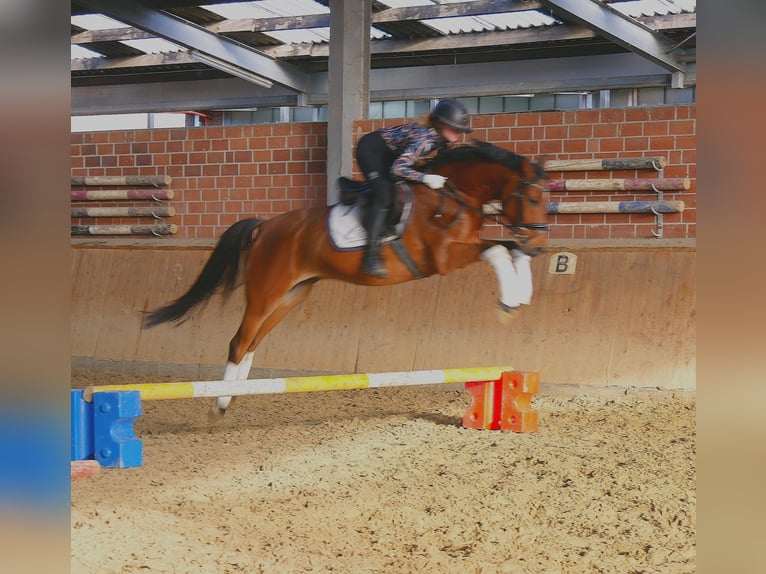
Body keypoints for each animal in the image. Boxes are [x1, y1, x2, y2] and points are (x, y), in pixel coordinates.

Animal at [144, 141, 548, 424]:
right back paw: (219, 405)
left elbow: (510, 247)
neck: (455, 194)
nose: (541, 244)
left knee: (253, 342)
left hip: (291, 295)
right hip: (266, 290)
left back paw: (234, 394)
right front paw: (508, 303)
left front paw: (521, 295)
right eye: (531, 197)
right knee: (239, 341)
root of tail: (265, 226)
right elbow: (498, 249)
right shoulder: (444, 257)